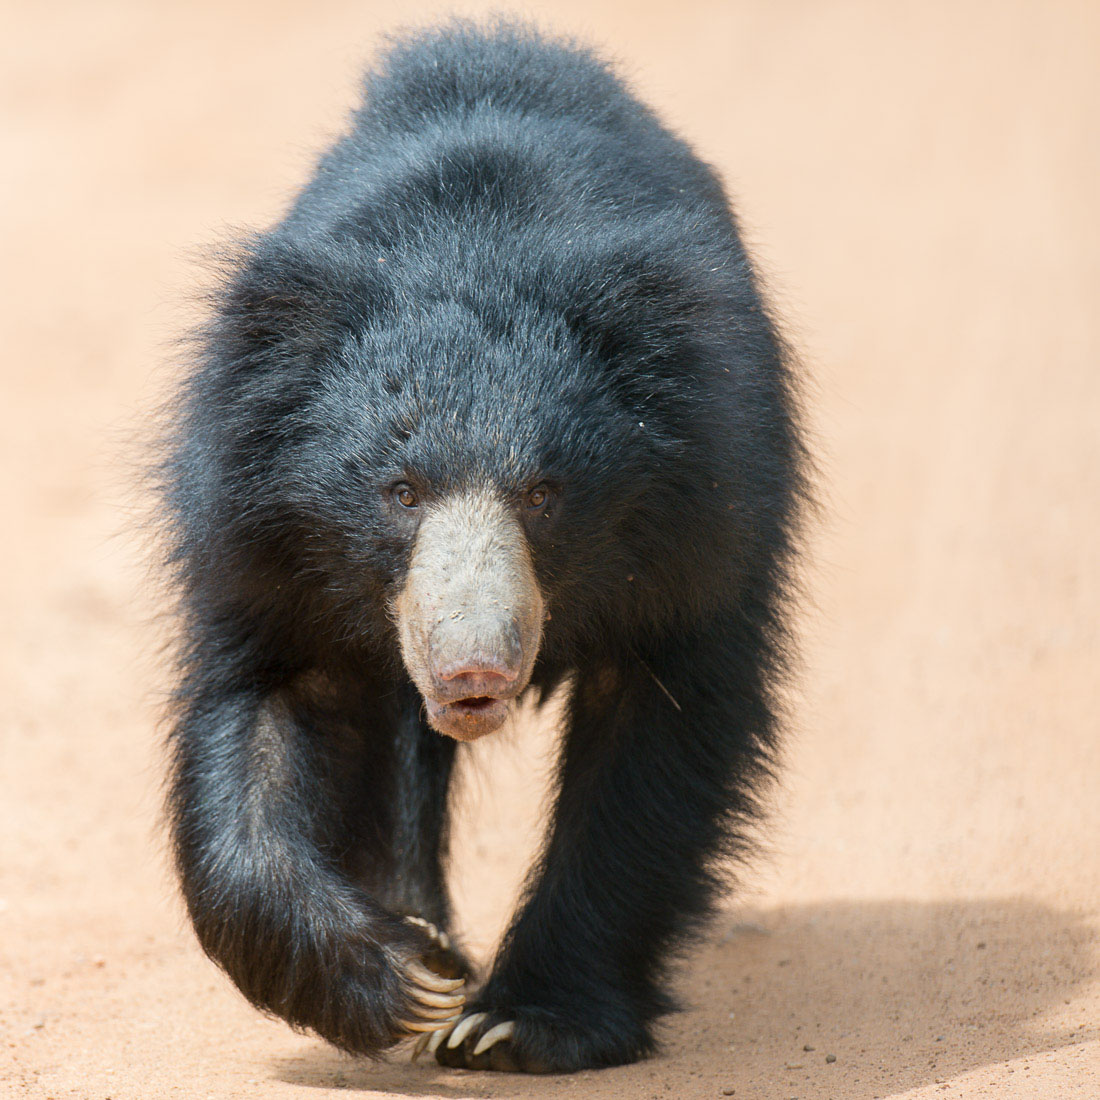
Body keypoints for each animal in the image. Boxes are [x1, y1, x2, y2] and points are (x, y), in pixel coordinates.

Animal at [159, 19, 805, 1073]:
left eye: (543, 495)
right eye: (400, 491)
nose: (472, 670)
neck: (470, 246)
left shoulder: (707, 520)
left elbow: (654, 742)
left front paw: (520, 1022)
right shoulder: (261, 534)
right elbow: (267, 723)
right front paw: (407, 984)